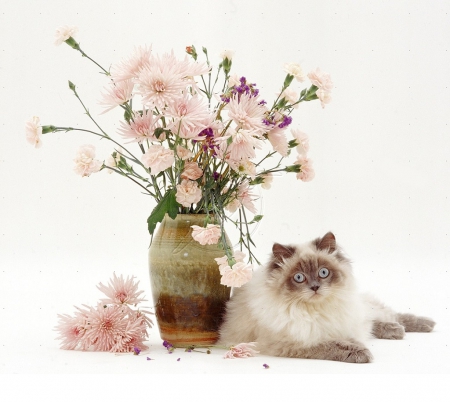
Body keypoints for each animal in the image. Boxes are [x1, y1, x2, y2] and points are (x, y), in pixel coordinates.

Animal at [218, 231, 436, 362]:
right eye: (299, 277)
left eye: (323, 273)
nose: (315, 287)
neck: (316, 310)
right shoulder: (300, 341)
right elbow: (334, 344)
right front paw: (361, 352)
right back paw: (399, 330)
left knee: (386, 316)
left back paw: (422, 325)